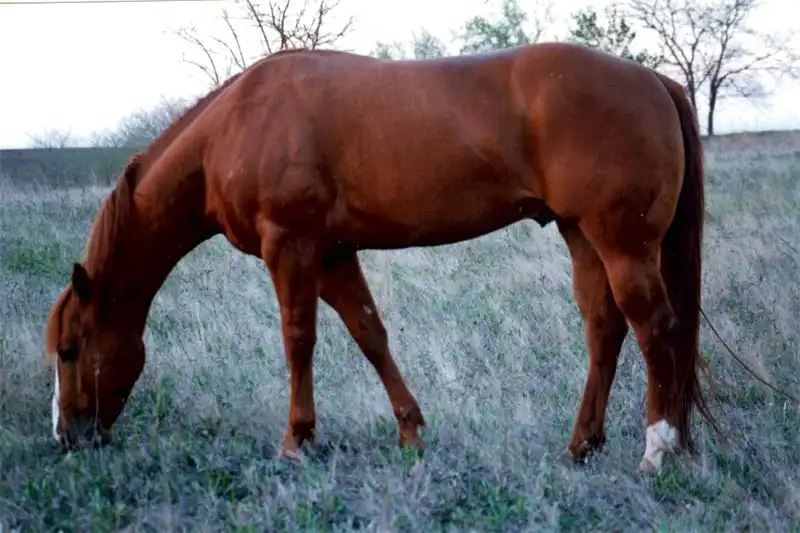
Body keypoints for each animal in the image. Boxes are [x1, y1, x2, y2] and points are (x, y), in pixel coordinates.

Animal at [44, 41, 716, 473]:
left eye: (71, 350)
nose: (67, 438)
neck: (235, 127)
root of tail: (652, 79)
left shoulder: (291, 247)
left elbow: (299, 340)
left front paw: (296, 442)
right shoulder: (334, 254)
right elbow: (370, 336)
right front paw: (411, 433)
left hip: (623, 245)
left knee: (654, 329)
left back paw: (656, 451)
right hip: (582, 236)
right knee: (605, 330)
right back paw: (582, 446)